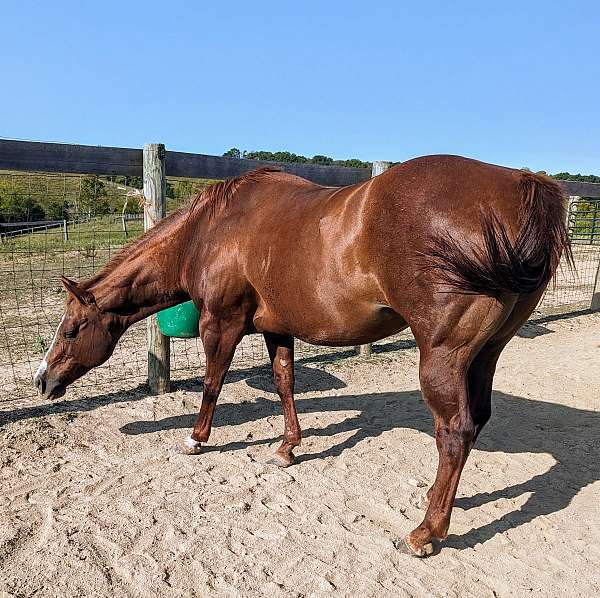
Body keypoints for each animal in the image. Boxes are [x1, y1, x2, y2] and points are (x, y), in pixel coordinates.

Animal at [34, 156, 572, 556]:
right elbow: (284, 382)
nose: (42, 380)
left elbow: (212, 383)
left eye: (72, 328)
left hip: (443, 356)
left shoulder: (221, 324)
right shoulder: (277, 329)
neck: (212, 230)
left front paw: (196, 439)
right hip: (486, 354)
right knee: (476, 421)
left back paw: (426, 531)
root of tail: (518, 186)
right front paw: (288, 447)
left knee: (455, 433)